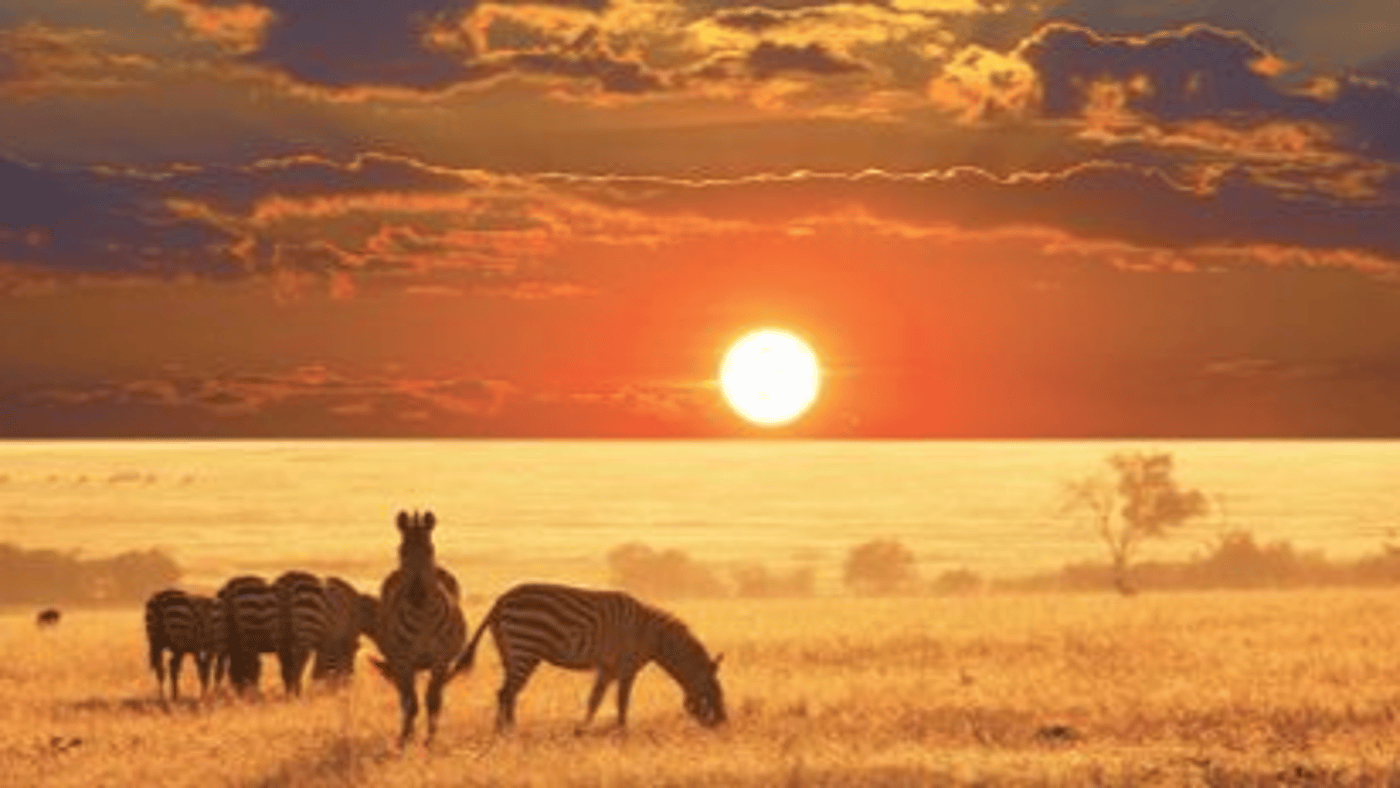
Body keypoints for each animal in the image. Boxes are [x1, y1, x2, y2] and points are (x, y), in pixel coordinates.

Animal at [367, 510, 467, 746]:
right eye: (401, 551)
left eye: (430, 550)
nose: (416, 594)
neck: (422, 617)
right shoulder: (404, 661)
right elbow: (410, 703)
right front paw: (405, 741)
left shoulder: (440, 660)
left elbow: (433, 701)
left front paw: (429, 742)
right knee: (405, 698)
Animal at [451, 582, 726, 732]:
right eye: (712, 693)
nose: (723, 725)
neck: (653, 637)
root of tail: (500, 601)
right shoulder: (626, 666)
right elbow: (622, 702)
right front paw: (622, 733)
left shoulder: (607, 668)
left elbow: (595, 700)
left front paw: (581, 730)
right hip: (524, 647)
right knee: (507, 693)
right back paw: (507, 734)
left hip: (510, 652)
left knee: (506, 693)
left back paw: (504, 732)